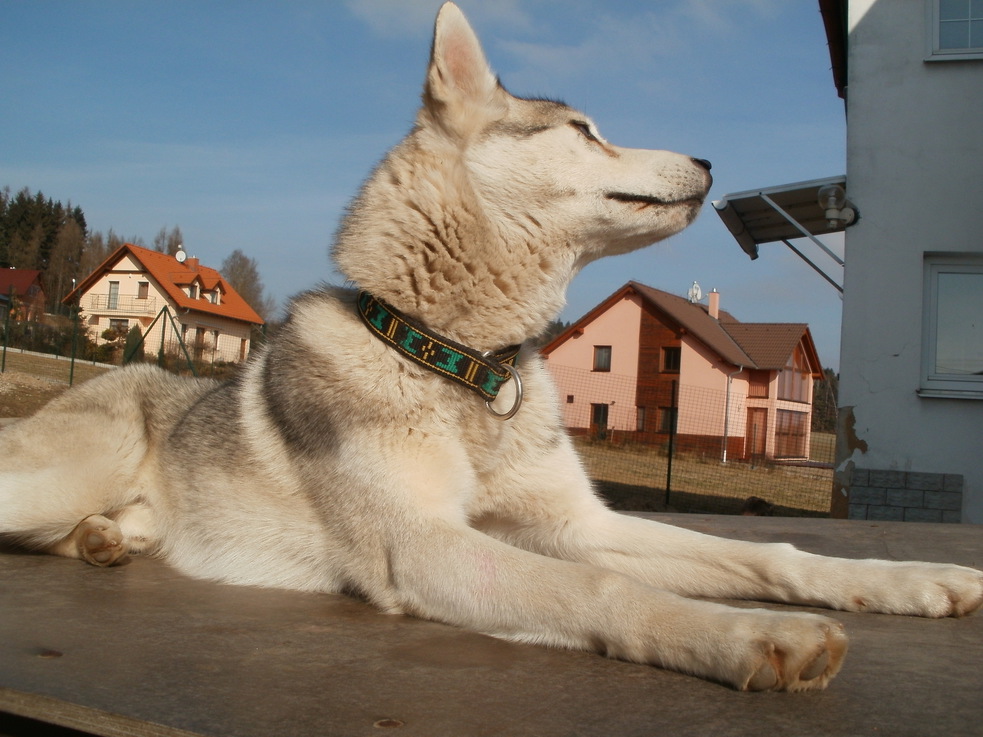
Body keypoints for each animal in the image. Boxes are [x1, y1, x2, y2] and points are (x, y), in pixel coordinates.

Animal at [1, 2, 980, 692]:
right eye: (584, 130)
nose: (707, 160)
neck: (459, 362)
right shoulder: (424, 544)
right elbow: (603, 592)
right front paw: (753, 635)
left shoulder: (578, 526)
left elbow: (770, 554)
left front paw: (917, 578)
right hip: (56, 478)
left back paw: (110, 538)